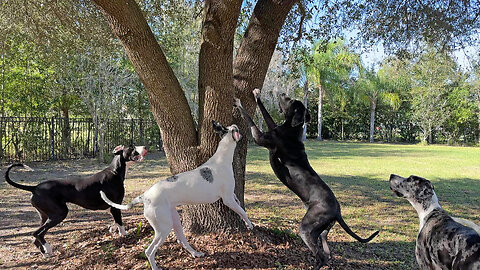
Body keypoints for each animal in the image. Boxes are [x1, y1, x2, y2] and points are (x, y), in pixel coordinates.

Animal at [3, 146, 146, 258]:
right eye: (131, 147)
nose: (145, 147)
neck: (114, 171)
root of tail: (35, 187)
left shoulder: (112, 207)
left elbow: (115, 221)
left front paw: (112, 228)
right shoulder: (115, 206)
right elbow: (120, 222)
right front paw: (124, 234)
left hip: (44, 216)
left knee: (36, 237)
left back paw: (45, 253)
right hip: (59, 213)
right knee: (37, 233)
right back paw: (48, 248)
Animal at [100, 121, 253, 270]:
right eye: (234, 129)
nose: (238, 126)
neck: (221, 159)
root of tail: (145, 196)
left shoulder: (232, 196)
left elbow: (239, 204)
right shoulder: (227, 199)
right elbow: (242, 211)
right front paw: (250, 224)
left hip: (174, 220)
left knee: (181, 240)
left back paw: (195, 253)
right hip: (163, 229)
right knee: (149, 251)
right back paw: (155, 267)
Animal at [234, 89, 380, 268]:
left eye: (290, 100)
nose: (282, 93)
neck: (293, 129)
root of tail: (337, 211)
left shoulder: (260, 137)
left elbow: (250, 120)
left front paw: (239, 102)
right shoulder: (274, 127)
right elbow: (268, 117)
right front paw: (257, 95)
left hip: (307, 228)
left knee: (321, 256)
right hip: (322, 229)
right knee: (326, 250)